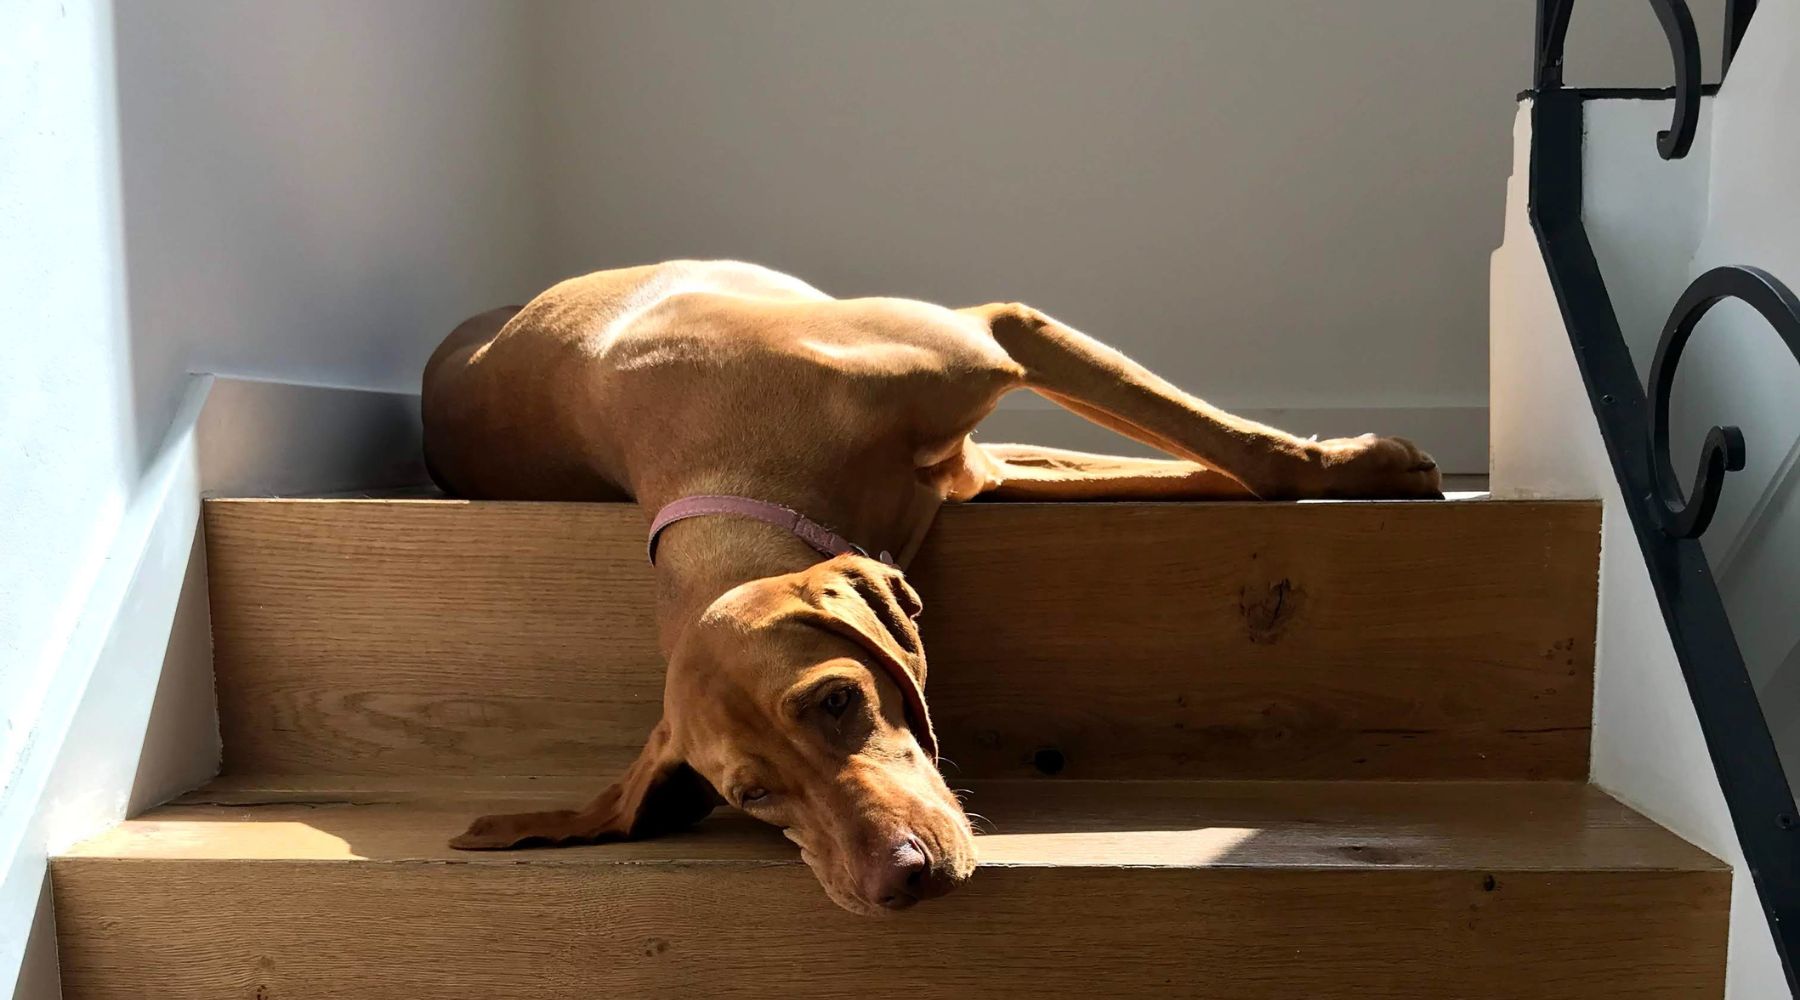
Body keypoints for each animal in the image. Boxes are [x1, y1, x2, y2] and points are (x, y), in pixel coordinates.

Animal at [417, 258, 1432, 913]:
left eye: (837, 700)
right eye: (751, 797)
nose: (895, 882)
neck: (735, 473)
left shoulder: (998, 334)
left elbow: (1242, 459)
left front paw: (1361, 464)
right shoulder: (981, 462)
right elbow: (1196, 466)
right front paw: (1366, 462)